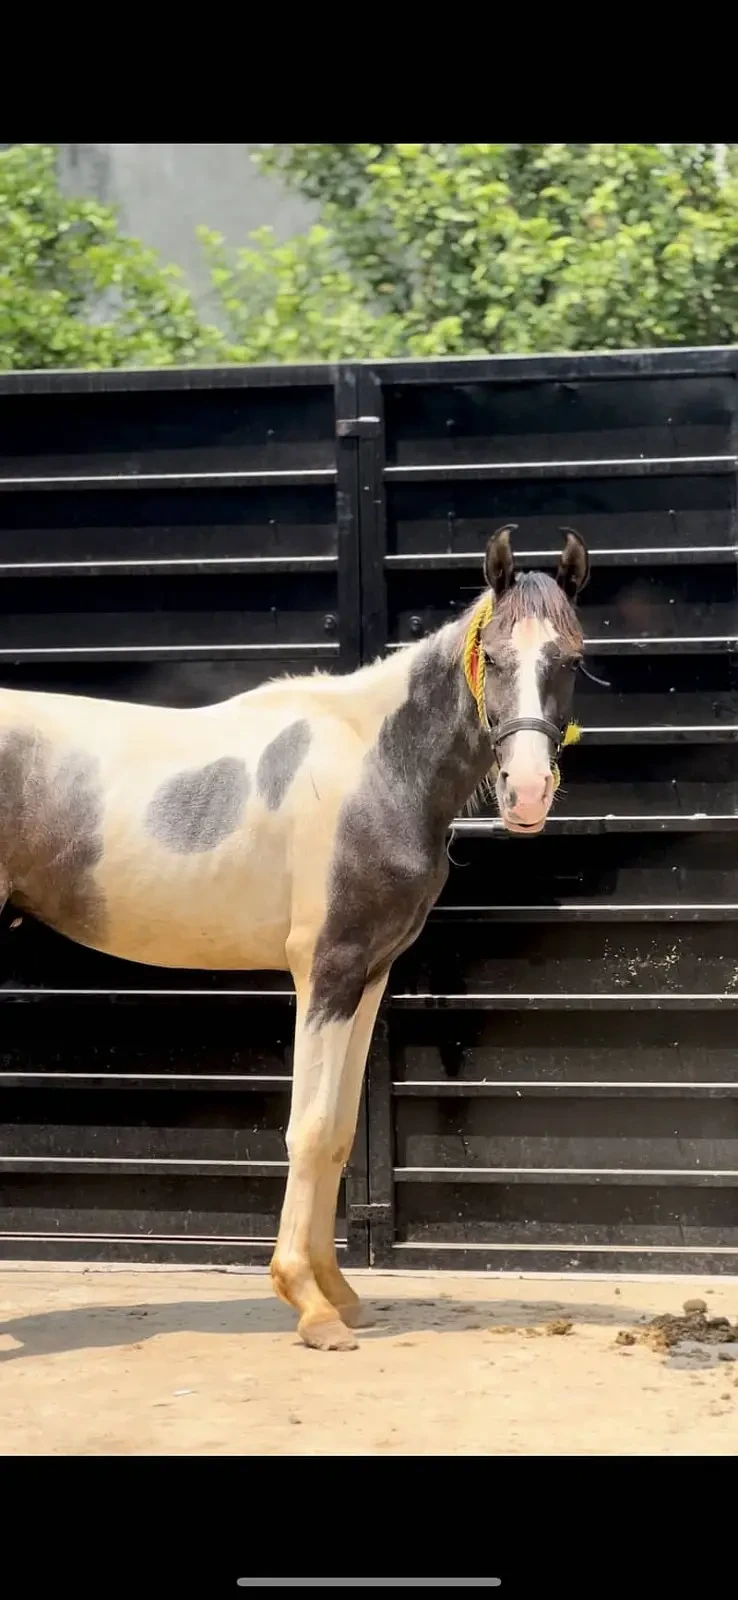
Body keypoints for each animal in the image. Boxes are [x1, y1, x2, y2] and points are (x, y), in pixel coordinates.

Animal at [0, 523, 589, 1351]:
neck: (378, 762)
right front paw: (308, 1306)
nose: (528, 793)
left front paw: (340, 1293)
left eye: (569, 659)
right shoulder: (326, 970)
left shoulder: (369, 974)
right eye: (497, 659)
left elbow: (337, 1131)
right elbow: (306, 1131)